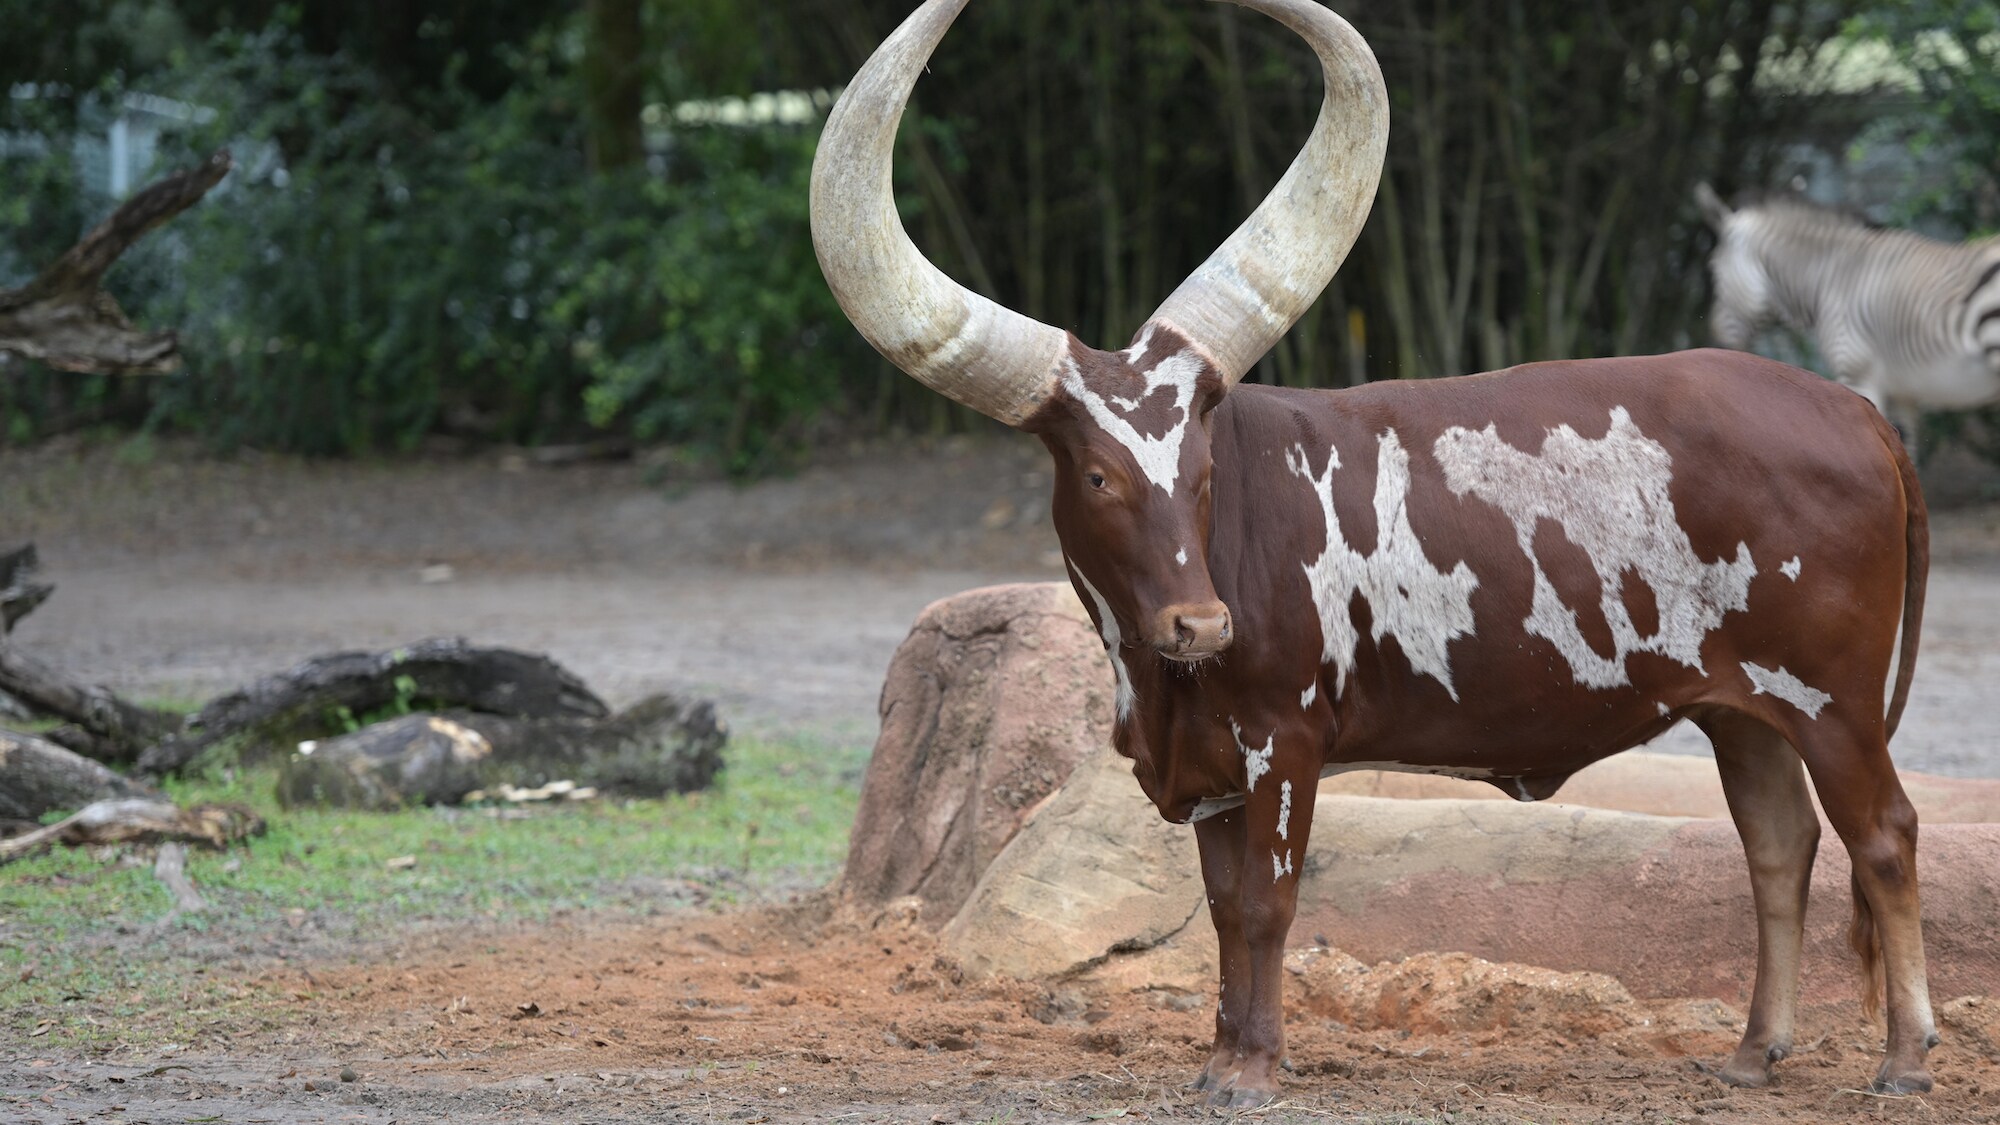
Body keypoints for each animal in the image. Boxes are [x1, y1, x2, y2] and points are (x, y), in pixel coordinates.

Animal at [804, 0, 1928, 1104]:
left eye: (1201, 467)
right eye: (1095, 477)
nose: (1200, 623)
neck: (1157, 674)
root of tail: (1853, 410)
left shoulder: (1283, 737)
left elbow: (1267, 904)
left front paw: (1254, 1071)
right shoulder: (1212, 763)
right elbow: (1221, 910)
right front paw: (1221, 1058)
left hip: (1833, 701)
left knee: (1883, 835)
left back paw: (1904, 1059)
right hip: (1742, 709)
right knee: (1778, 846)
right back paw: (1754, 1050)